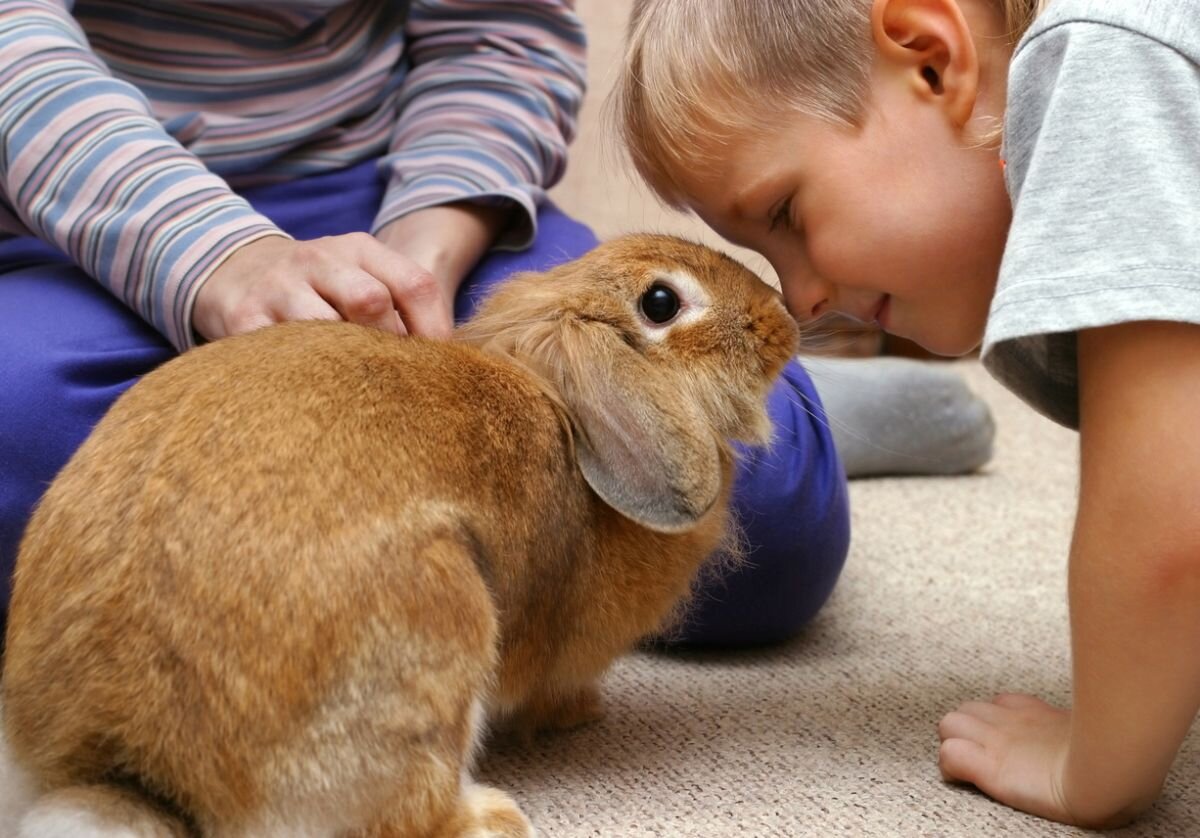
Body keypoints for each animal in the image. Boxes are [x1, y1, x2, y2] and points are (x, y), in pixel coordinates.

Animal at [4, 230, 801, 835]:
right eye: (662, 302)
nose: (781, 319)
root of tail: (135, 769)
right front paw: (578, 713)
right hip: (439, 637)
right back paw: (493, 818)